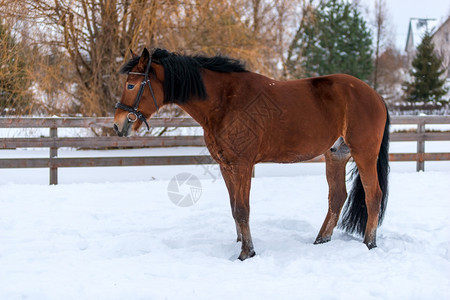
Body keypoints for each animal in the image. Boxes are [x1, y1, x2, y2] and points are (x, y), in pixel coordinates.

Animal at [113, 48, 390, 260]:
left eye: (131, 84)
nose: (118, 125)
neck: (225, 101)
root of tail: (375, 95)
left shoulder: (243, 164)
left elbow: (242, 209)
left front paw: (247, 253)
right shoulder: (226, 165)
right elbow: (233, 207)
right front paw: (241, 243)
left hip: (364, 154)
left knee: (373, 196)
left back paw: (369, 244)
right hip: (336, 155)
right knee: (337, 197)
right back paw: (321, 240)